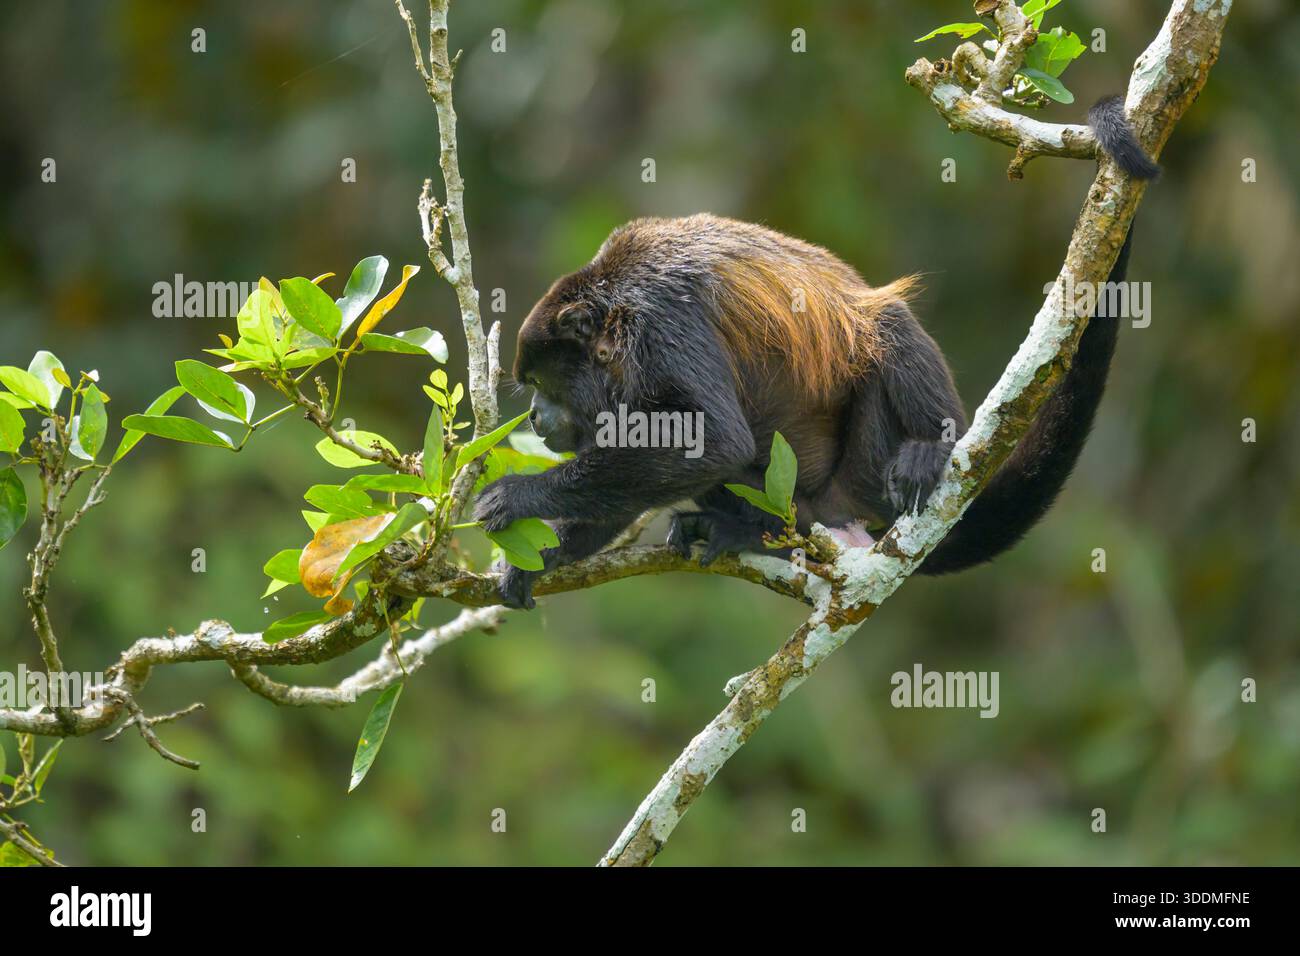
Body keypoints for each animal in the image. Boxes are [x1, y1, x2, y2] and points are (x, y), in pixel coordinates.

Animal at [474, 96, 1159, 609]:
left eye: (541, 383)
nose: (533, 416)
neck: (614, 316)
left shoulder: (662, 316)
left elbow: (713, 438)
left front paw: (519, 497)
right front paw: (542, 556)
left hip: (867, 469)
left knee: (883, 326)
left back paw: (926, 448)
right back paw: (743, 531)